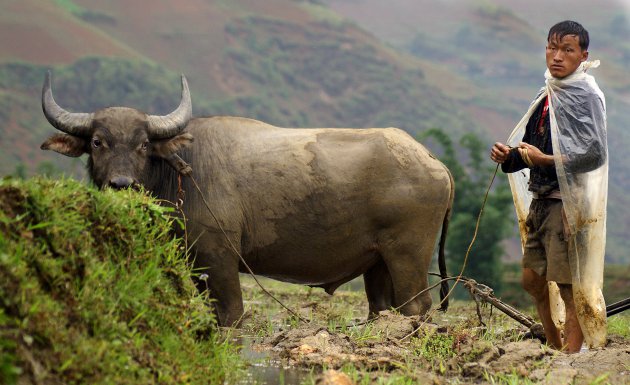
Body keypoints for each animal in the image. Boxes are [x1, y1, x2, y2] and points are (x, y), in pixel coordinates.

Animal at [40, 71, 454, 324]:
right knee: (381, 308)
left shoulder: (220, 259)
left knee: (417, 306)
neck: (180, 172)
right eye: (98, 142)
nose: (121, 184)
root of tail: (433, 161)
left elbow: (232, 314)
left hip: (407, 257)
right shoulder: (194, 266)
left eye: (143, 145)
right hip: (378, 263)